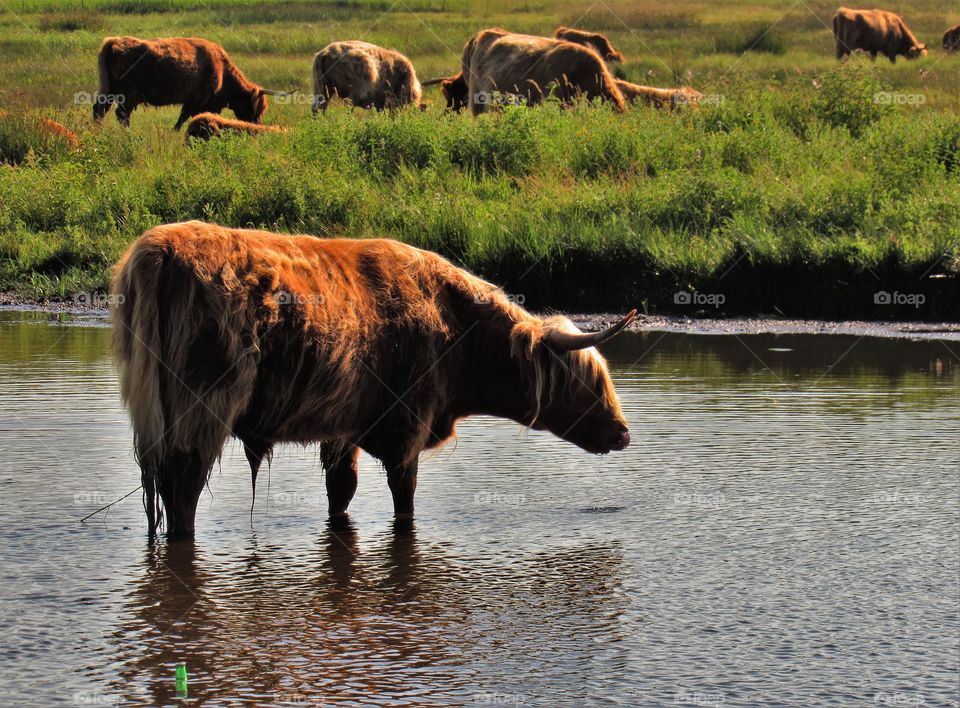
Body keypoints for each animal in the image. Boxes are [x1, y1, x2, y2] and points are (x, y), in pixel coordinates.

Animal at [93, 36, 271, 129]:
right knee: (121, 116)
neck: (221, 69)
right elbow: (182, 119)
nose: (257, 126)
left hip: (109, 92)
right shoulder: (197, 102)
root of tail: (114, 42)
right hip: (127, 97)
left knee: (99, 111)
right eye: (258, 109)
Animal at [111, 221, 635, 540]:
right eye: (588, 382)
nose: (623, 433)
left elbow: (340, 492)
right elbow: (405, 504)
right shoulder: (406, 430)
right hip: (200, 412)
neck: (459, 334)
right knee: (183, 493)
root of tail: (158, 250)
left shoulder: (343, 430)